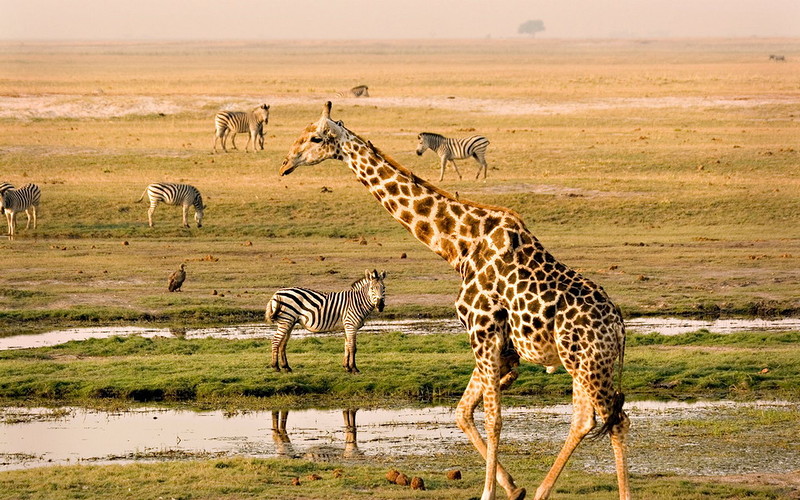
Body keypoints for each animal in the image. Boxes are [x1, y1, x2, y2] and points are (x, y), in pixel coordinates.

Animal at [282, 101, 632, 500]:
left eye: (314, 137)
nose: (286, 162)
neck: (459, 246)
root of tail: (620, 328)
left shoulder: (483, 332)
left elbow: (493, 419)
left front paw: (489, 492)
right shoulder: (496, 345)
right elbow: (462, 413)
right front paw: (513, 488)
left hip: (590, 364)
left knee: (617, 419)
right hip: (579, 364)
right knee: (585, 419)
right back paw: (542, 491)